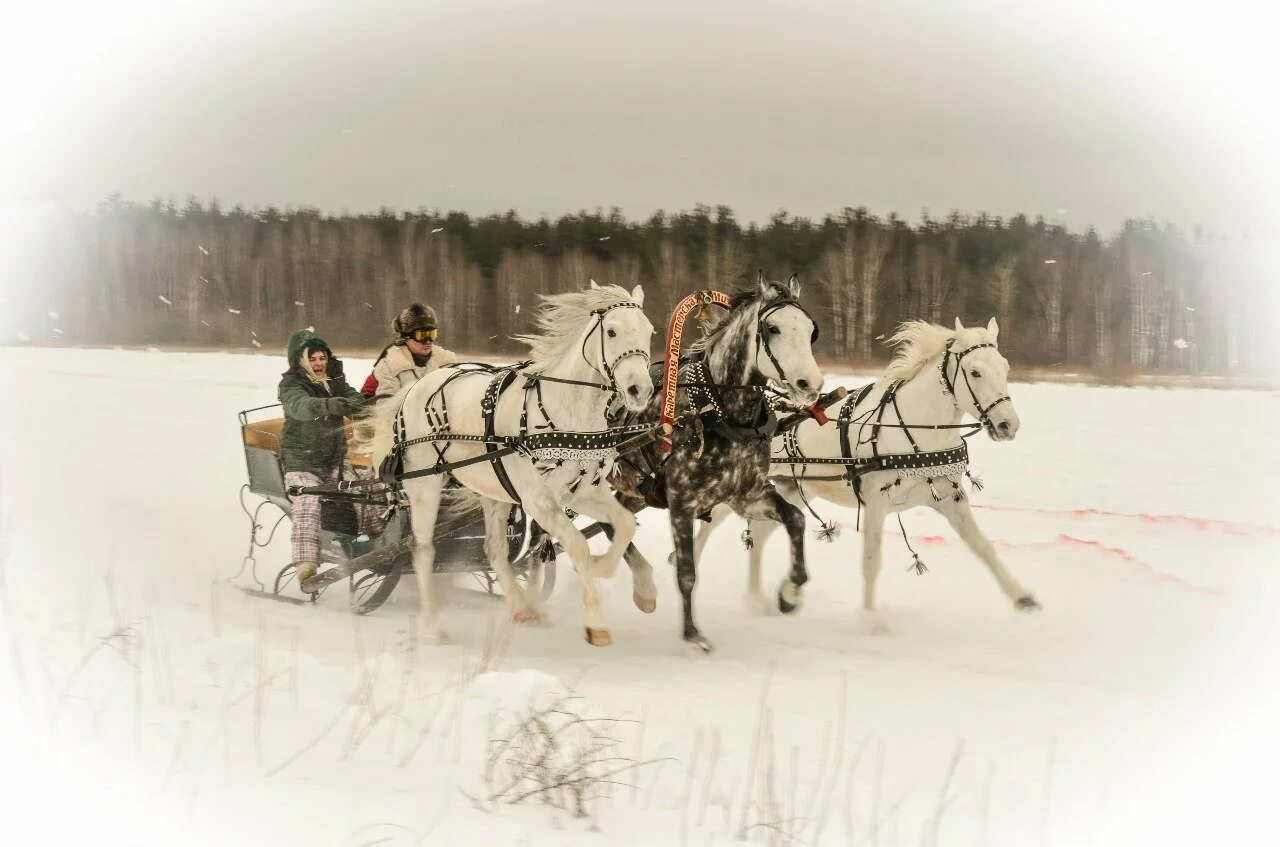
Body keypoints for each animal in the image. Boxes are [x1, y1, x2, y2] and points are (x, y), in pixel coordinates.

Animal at [368, 281, 650, 647]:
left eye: (649, 330)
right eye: (612, 331)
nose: (640, 389)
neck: (566, 414)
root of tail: (415, 388)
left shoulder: (583, 492)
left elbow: (626, 524)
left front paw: (617, 575)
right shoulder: (539, 501)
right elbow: (577, 544)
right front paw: (595, 622)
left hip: (494, 489)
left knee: (493, 549)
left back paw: (522, 606)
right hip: (424, 485)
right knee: (422, 549)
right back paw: (432, 626)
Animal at [701, 318, 1039, 624]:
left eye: (1005, 369)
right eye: (975, 371)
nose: (1008, 425)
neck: (918, 432)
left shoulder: (949, 499)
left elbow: (983, 547)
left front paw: (1023, 597)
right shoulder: (877, 501)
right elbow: (872, 559)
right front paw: (870, 619)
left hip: (792, 489)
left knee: (759, 535)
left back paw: (761, 598)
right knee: (709, 524)